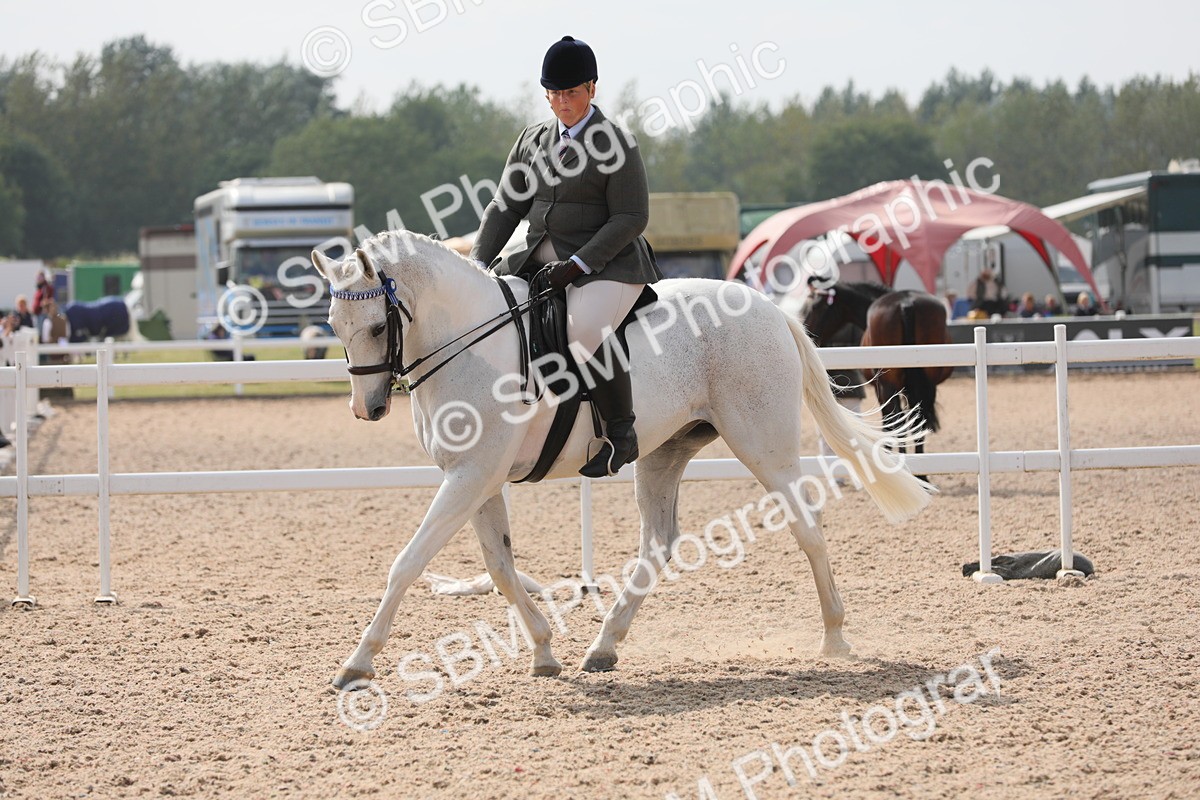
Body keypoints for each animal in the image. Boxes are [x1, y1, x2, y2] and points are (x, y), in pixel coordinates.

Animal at [312, 231, 933, 689]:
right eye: (335, 326)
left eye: (377, 326)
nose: (367, 408)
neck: (470, 342)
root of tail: (768, 309)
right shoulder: (477, 479)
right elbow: (501, 567)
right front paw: (544, 651)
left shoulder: (470, 477)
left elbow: (407, 563)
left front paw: (356, 663)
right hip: (665, 452)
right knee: (658, 542)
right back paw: (603, 646)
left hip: (763, 444)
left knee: (808, 527)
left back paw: (834, 637)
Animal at [800, 280, 952, 472]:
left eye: (816, 306)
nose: (807, 333)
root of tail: (906, 303)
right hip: (925, 384)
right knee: (917, 421)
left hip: (887, 386)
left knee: (895, 422)